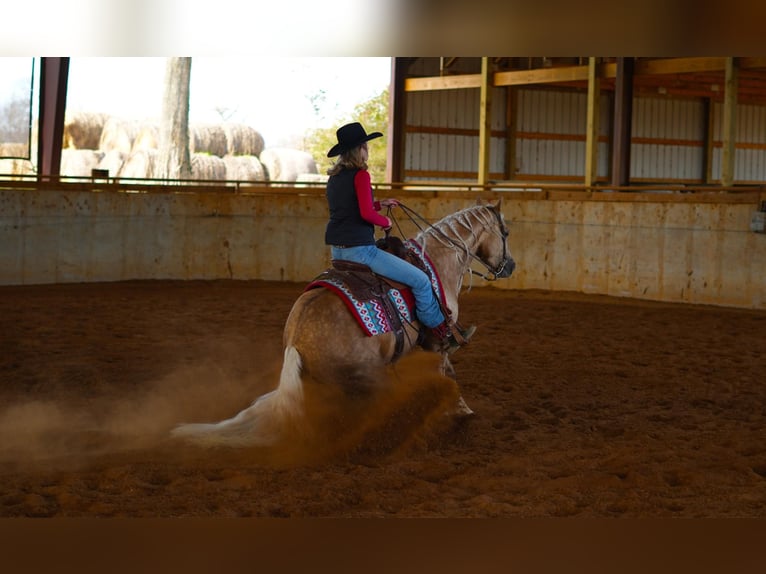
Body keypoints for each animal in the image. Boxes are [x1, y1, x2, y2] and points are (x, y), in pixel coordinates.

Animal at [174, 200, 516, 452]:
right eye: (506, 232)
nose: (510, 266)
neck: (437, 260)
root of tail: (296, 341)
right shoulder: (440, 338)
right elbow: (449, 373)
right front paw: (462, 411)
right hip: (366, 378)